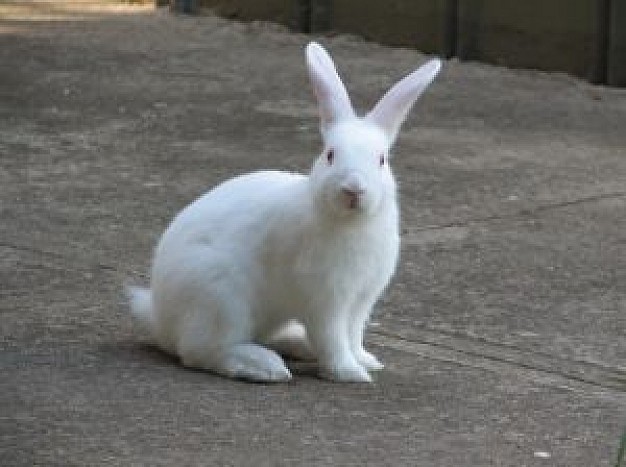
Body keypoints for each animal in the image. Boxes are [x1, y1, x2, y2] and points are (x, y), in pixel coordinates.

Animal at [125, 42, 438, 382]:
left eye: (381, 160)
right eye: (330, 155)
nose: (353, 188)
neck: (351, 223)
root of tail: (159, 316)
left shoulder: (361, 300)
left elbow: (354, 335)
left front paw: (366, 361)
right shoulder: (325, 300)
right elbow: (333, 338)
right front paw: (349, 373)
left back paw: (298, 346)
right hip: (221, 299)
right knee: (202, 351)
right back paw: (265, 366)